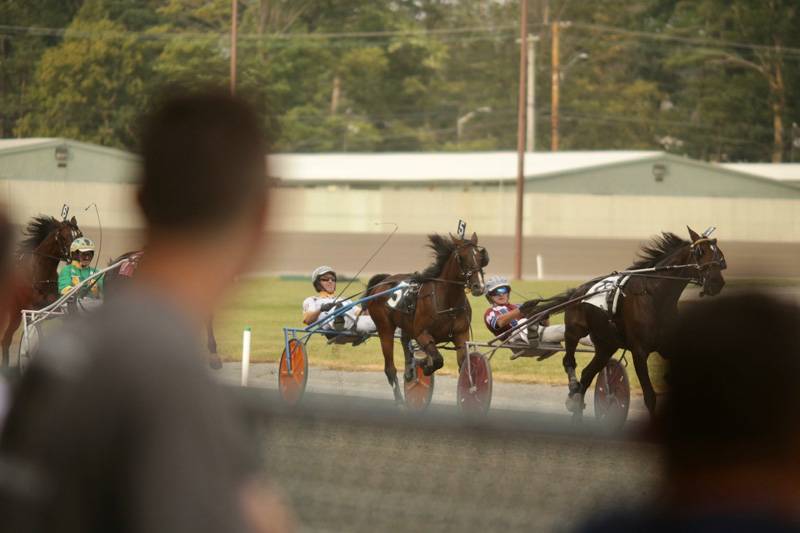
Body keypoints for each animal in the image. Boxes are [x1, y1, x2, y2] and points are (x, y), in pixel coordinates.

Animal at [2, 213, 82, 366]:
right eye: (64, 237)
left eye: (80, 234)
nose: (79, 256)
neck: (39, 274)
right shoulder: (32, 310)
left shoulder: (55, 306)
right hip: (14, 312)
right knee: (6, 340)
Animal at [364, 233, 488, 404]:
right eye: (461, 257)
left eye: (481, 256)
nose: (478, 286)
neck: (447, 302)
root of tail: (383, 282)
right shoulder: (422, 334)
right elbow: (437, 359)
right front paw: (426, 366)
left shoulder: (461, 335)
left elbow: (463, 364)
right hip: (385, 329)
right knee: (390, 368)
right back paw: (400, 400)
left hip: (406, 324)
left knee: (404, 340)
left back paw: (409, 371)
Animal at [524, 227, 724, 418]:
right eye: (700, 251)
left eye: (719, 254)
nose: (717, 283)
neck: (654, 296)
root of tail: (577, 292)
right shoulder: (639, 351)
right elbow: (649, 396)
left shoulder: (668, 346)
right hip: (575, 331)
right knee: (569, 361)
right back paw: (573, 390)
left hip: (606, 345)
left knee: (587, 375)